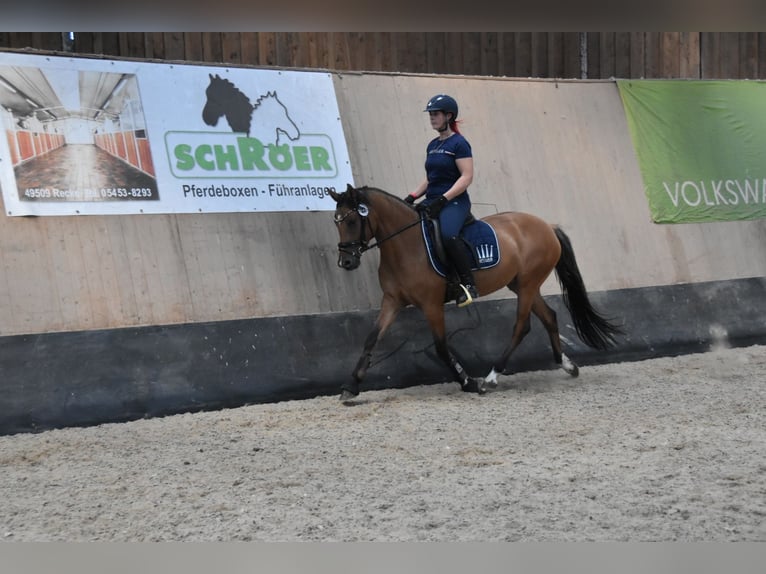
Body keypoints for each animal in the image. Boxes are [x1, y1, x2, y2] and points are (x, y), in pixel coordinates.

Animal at [328, 184, 624, 404]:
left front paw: (468, 382)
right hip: (521, 284)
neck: (406, 245)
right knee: (549, 316)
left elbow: (441, 347)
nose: (346, 262)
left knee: (522, 325)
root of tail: (546, 225)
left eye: (352, 220)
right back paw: (567, 365)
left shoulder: (431, 304)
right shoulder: (392, 301)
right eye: (336, 222)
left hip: (528, 283)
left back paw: (492, 377)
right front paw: (350, 385)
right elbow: (371, 339)